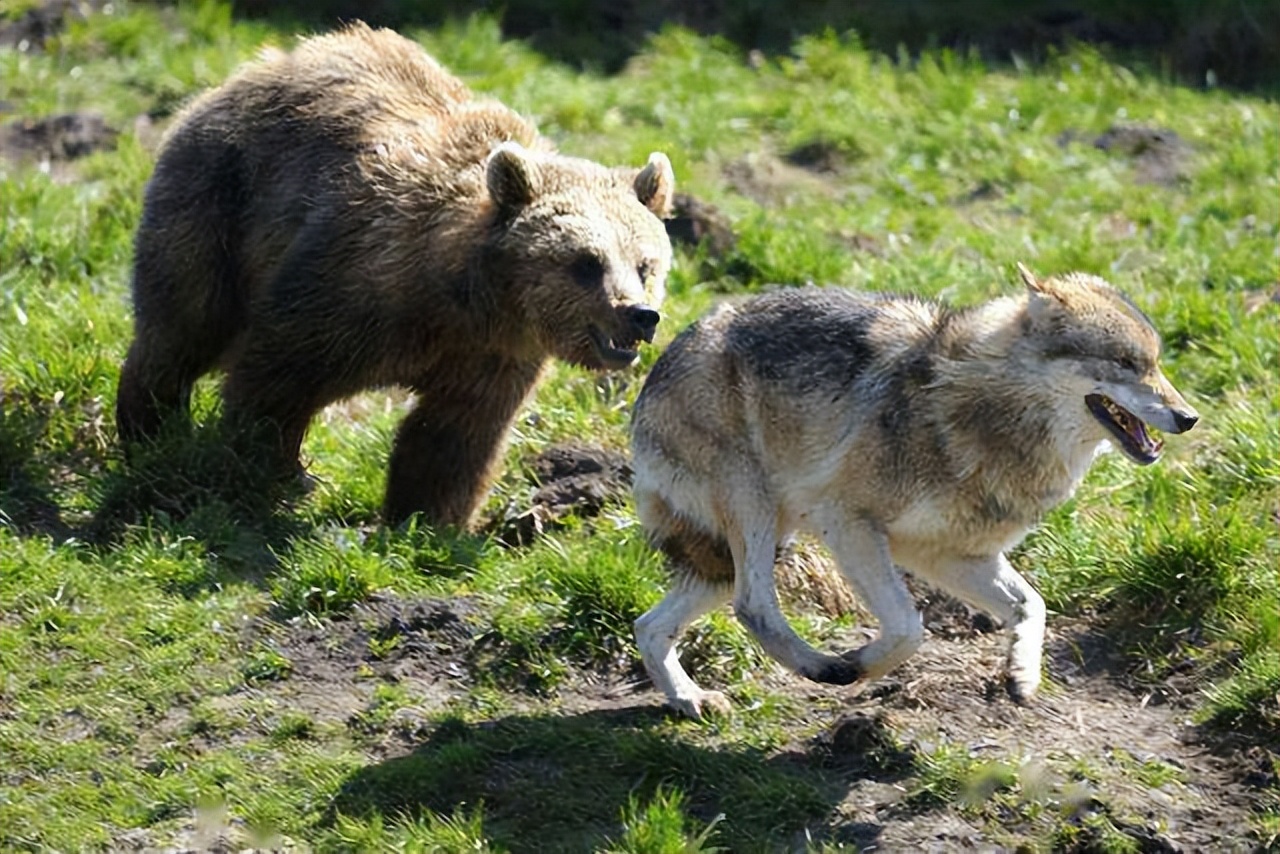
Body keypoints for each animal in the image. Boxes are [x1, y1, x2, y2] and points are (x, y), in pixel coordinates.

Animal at [117, 21, 680, 527]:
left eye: (645, 265)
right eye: (585, 262)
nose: (638, 315)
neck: (461, 298)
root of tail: (249, 71)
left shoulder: (491, 356)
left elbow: (452, 436)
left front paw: (426, 520)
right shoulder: (347, 288)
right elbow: (275, 378)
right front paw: (265, 471)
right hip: (219, 203)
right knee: (184, 324)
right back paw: (151, 430)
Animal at [629, 263, 1198, 717]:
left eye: (1156, 363)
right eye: (1125, 364)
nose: (1189, 418)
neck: (987, 414)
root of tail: (659, 363)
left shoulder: (949, 555)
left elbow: (1032, 605)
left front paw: (1022, 674)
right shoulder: (848, 522)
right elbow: (909, 626)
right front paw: (862, 665)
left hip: (745, 548)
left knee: (649, 625)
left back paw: (688, 699)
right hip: (755, 513)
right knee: (753, 606)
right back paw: (823, 667)